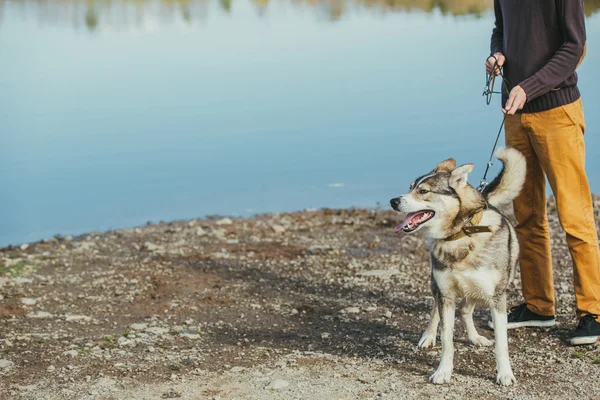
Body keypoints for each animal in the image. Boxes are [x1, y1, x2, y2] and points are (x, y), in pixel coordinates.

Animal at [390, 148, 524, 386]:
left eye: (423, 191)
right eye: (410, 187)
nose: (393, 201)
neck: (462, 233)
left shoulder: (497, 298)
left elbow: (502, 343)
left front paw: (505, 374)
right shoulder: (446, 294)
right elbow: (447, 339)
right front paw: (443, 371)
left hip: (476, 290)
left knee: (466, 309)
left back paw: (475, 337)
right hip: (439, 286)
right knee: (437, 308)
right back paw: (428, 336)